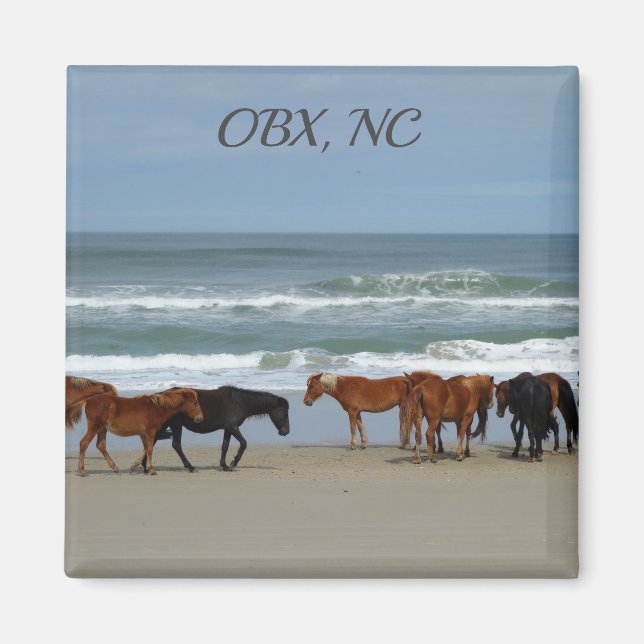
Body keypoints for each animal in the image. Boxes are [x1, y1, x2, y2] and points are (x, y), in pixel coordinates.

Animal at [132, 386, 290, 473]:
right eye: (284, 412)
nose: (285, 432)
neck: (239, 402)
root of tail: (160, 397)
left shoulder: (228, 428)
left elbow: (225, 446)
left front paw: (224, 466)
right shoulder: (233, 426)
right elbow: (244, 443)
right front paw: (233, 464)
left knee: (151, 442)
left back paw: (145, 467)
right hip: (176, 425)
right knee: (176, 445)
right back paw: (190, 467)